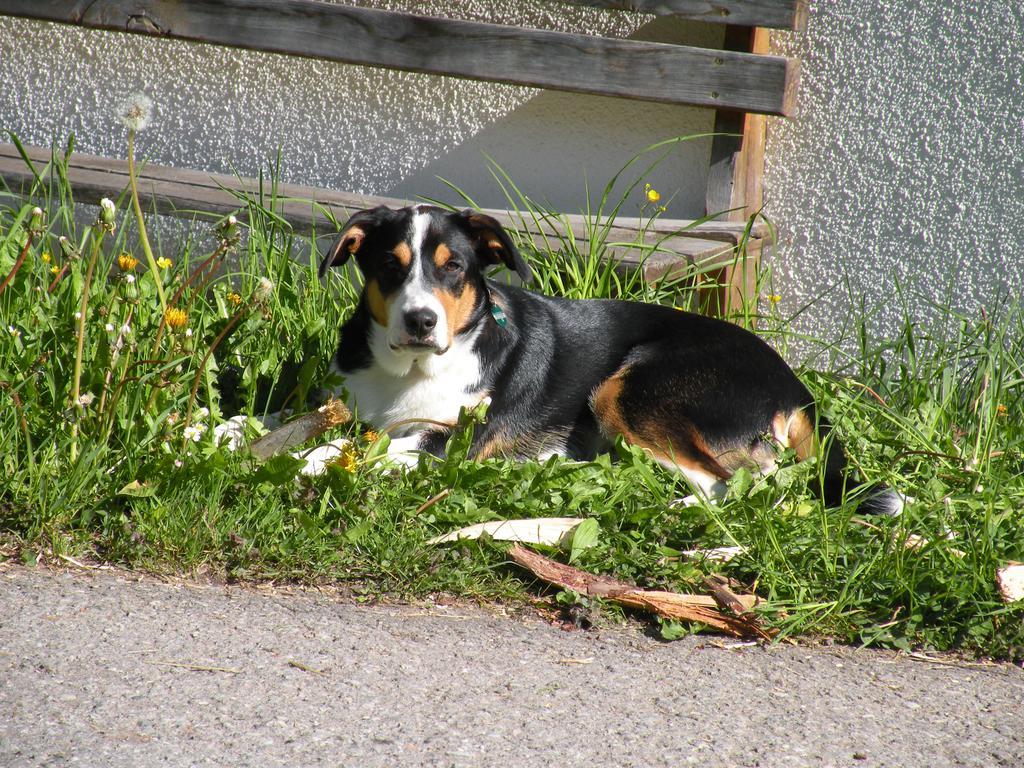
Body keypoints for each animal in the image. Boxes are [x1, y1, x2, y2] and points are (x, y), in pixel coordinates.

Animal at [307, 204, 901, 518]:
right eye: (390, 265)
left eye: (453, 267)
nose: (421, 321)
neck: (407, 373)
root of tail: (794, 383)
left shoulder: (448, 440)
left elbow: (359, 450)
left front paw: (312, 464)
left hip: (629, 391)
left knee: (734, 485)